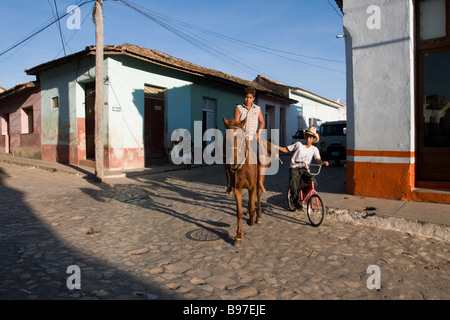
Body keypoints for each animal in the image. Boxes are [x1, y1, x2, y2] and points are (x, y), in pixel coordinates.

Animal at [221, 116, 270, 246]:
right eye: (226, 138)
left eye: (241, 138)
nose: (233, 162)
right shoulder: (237, 189)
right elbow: (239, 212)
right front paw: (238, 235)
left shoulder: (252, 187)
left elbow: (252, 208)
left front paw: (250, 221)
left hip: (260, 181)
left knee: (258, 195)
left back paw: (259, 217)